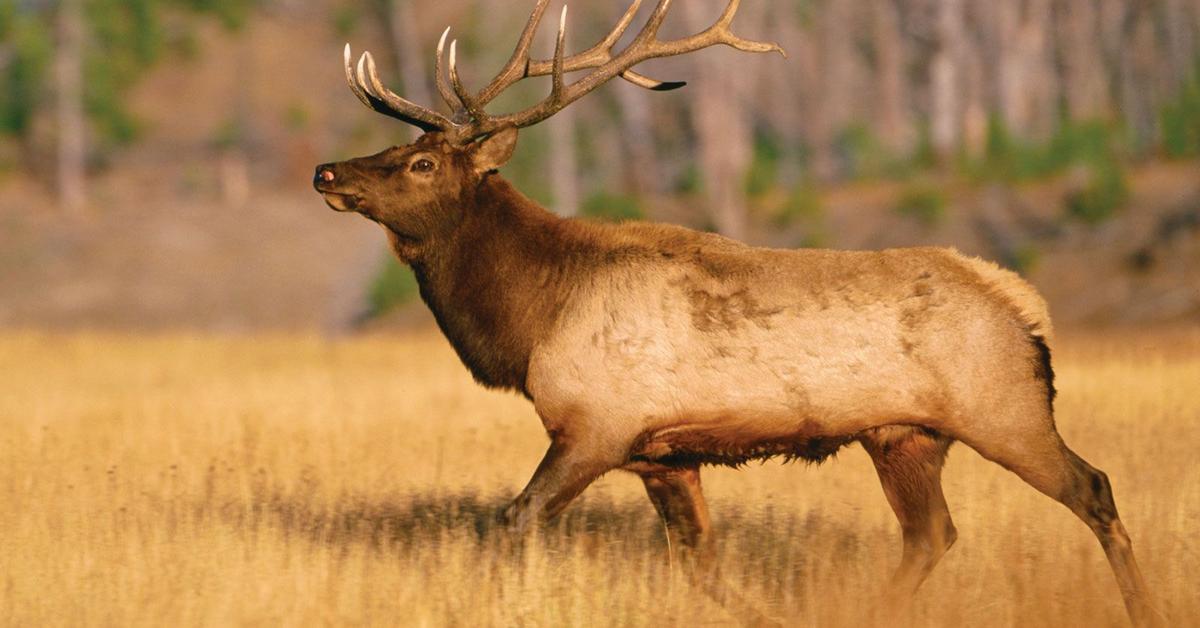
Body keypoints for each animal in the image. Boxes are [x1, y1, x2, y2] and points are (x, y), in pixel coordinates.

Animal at [314, 1, 1156, 624]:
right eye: (391, 148)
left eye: (421, 163)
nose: (326, 170)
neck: (530, 319)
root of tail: (1025, 306)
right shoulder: (662, 453)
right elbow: (701, 565)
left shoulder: (597, 425)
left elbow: (515, 521)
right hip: (904, 437)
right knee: (931, 536)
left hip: (1004, 407)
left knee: (1094, 488)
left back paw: (1145, 609)